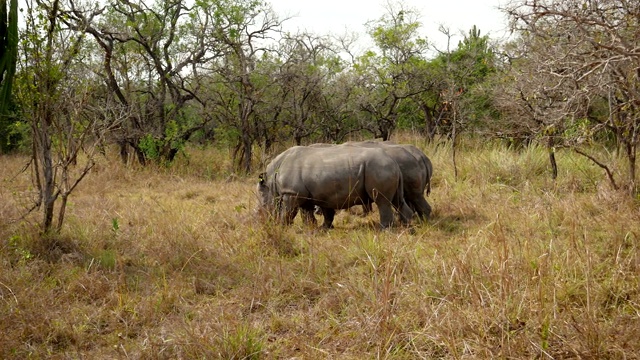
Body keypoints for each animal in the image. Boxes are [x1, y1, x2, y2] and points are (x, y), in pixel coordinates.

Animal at [258, 143, 412, 228]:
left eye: (262, 202)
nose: (259, 220)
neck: (272, 177)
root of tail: (393, 162)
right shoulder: (317, 194)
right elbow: (315, 213)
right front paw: (318, 228)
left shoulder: (291, 193)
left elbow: (288, 212)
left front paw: (281, 226)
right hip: (385, 168)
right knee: (398, 201)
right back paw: (409, 227)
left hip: (378, 168)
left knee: (382, 202)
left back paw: (384, 229)